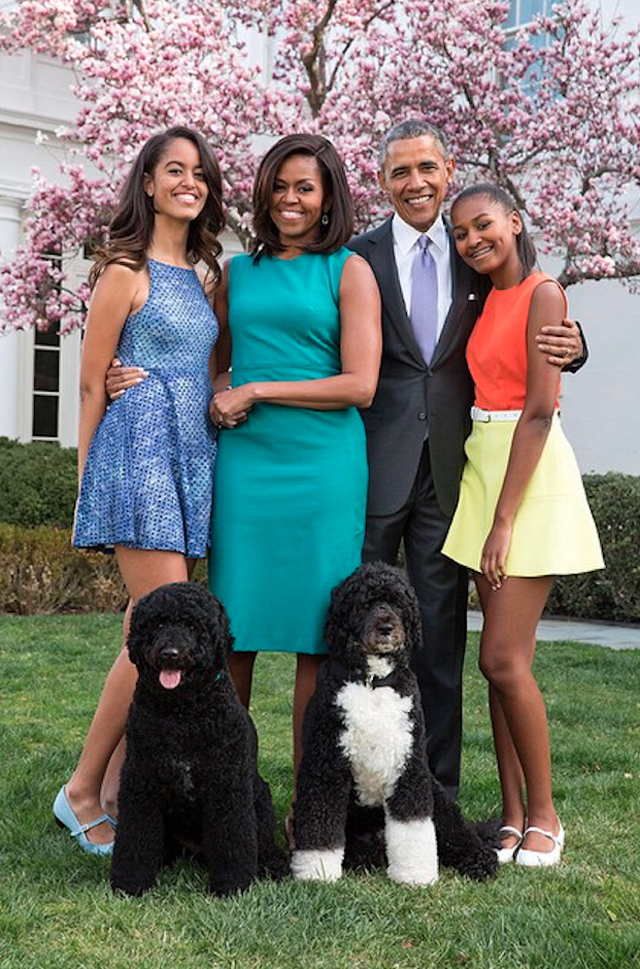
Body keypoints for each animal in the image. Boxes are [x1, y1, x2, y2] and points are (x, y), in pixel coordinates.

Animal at [110, 580, 288, 896]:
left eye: (193, 626)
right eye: (158, 623)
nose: (170, 653)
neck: (183, 716)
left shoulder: (227, 785)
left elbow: (232, 841)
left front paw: (232, 885)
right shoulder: (141, 780)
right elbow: (135, 838)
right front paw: (130, 882)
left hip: (260, 798)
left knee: (264, 842)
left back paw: (273, 865)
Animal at [292, 560, 500, 884]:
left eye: (399, 603)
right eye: (365, 603)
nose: (387, 628)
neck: (373, 682)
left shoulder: (409, 766)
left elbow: (412, 826)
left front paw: (415, 875)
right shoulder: (326, 764)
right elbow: (320, 824)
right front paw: (317, 872)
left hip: (437, 796)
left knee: (458, 833)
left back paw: (480, 859)